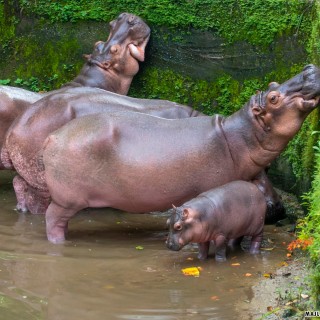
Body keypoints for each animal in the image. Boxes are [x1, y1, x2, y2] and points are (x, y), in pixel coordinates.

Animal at [39, 65, 320, 245]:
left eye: (272, 84)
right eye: (273, 97)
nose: (309, 69)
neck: (239, 135)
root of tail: (52, 136)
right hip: (68, 199)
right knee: (52, 220)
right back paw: (59, 243)